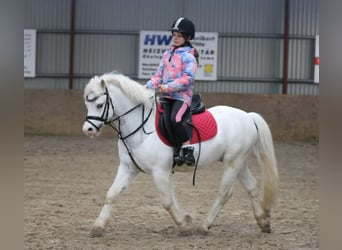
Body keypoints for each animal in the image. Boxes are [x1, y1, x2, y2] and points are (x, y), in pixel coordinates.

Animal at [82, 72, 278, 236]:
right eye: (87, 104)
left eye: (99, 104)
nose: (88, 130)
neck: (141, 128)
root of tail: (248, 116)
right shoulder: (128, 167)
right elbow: (112, 194)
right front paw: (98, 227)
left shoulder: (159, 171)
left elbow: (167, 200)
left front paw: (184, 226)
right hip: (239, 162)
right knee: (252, 187)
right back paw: (263, 222)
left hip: (232, 162)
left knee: (225, 193)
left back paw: (205, 226)